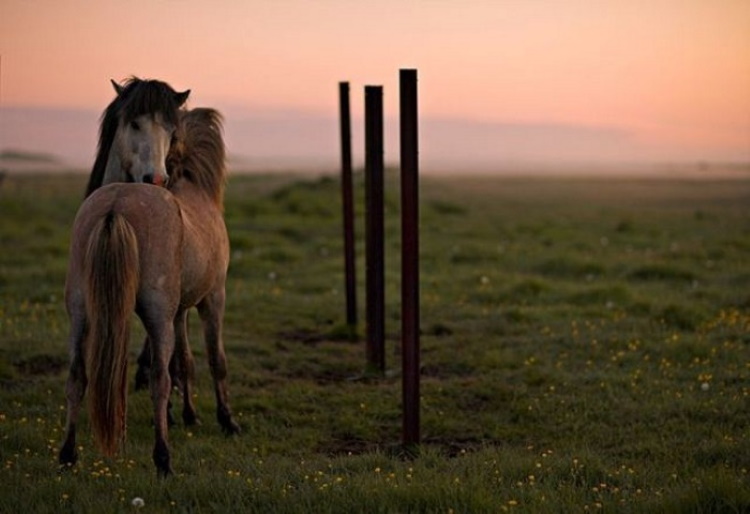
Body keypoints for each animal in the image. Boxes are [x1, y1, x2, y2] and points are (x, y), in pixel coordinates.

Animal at [59, 106, 239, 474]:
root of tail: (115, 206)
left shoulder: (179, 310)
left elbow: (185, 361)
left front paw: (190, 415)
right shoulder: (212, 299)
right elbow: (215, 360)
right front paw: (226, 420)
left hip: (82, 313)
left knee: (76, 376)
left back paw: (68, 455)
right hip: (158, 316)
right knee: (159, 381)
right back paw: (163, 459)